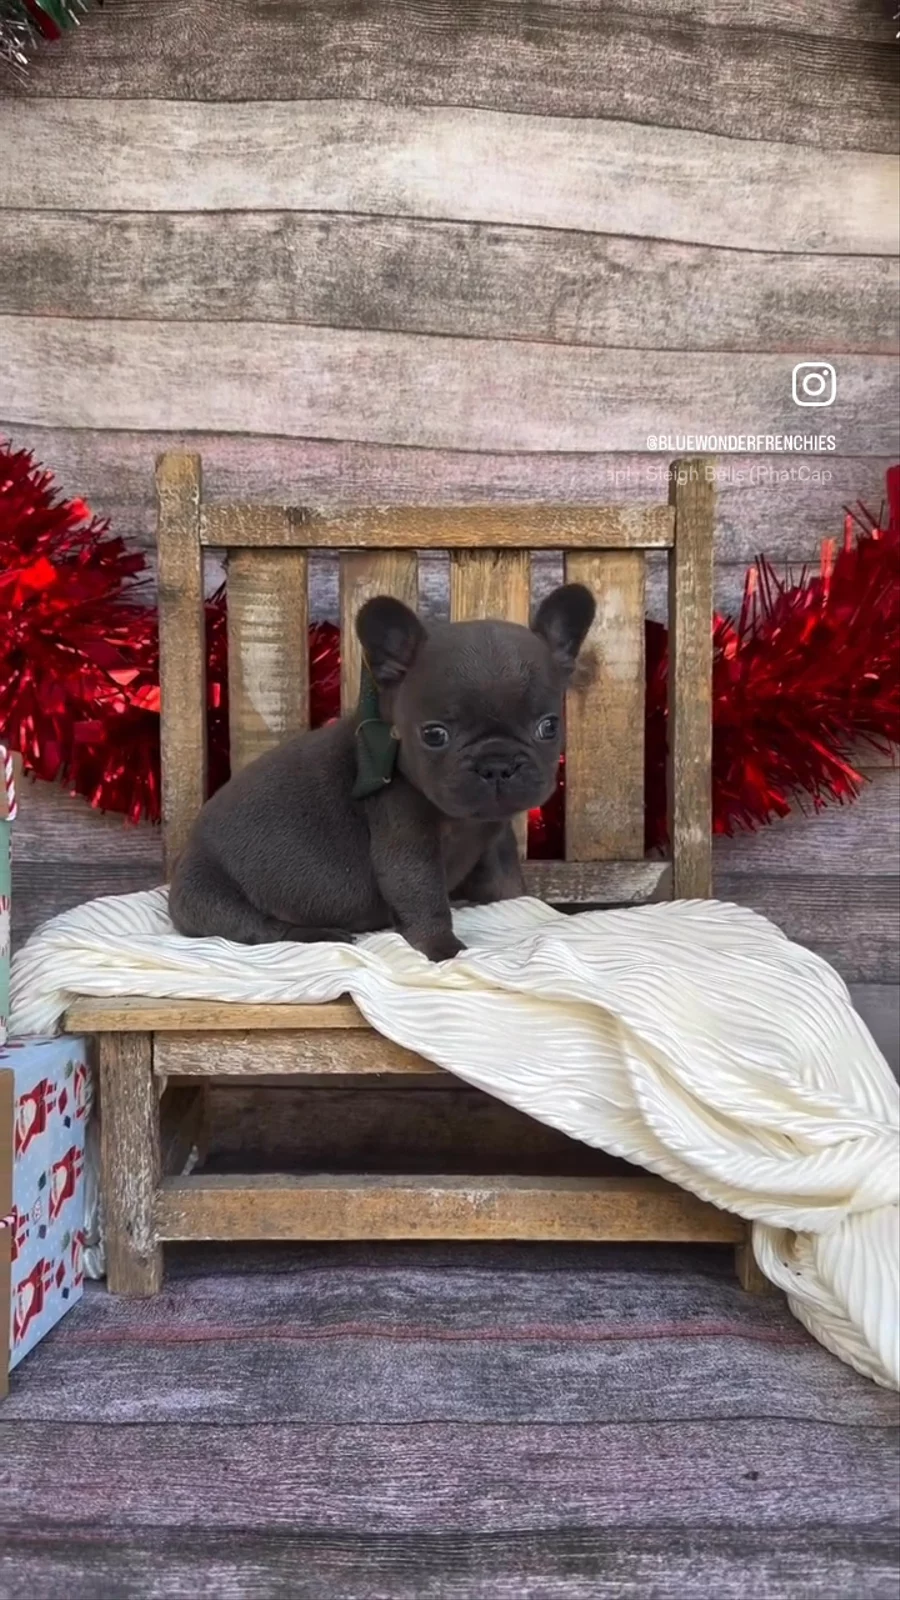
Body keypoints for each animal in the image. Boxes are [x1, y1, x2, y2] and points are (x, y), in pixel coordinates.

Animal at [168, 583, 595, 962]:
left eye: (549, 727)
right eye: (434, 734)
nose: (497, 765)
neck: (466, 821)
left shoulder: (494, 838)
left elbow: (506, 880)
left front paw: (520, 903)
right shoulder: (404, 838)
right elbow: (423, 894)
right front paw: (443, 949)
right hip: (210, 893)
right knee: (260, 928)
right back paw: (319, 933)